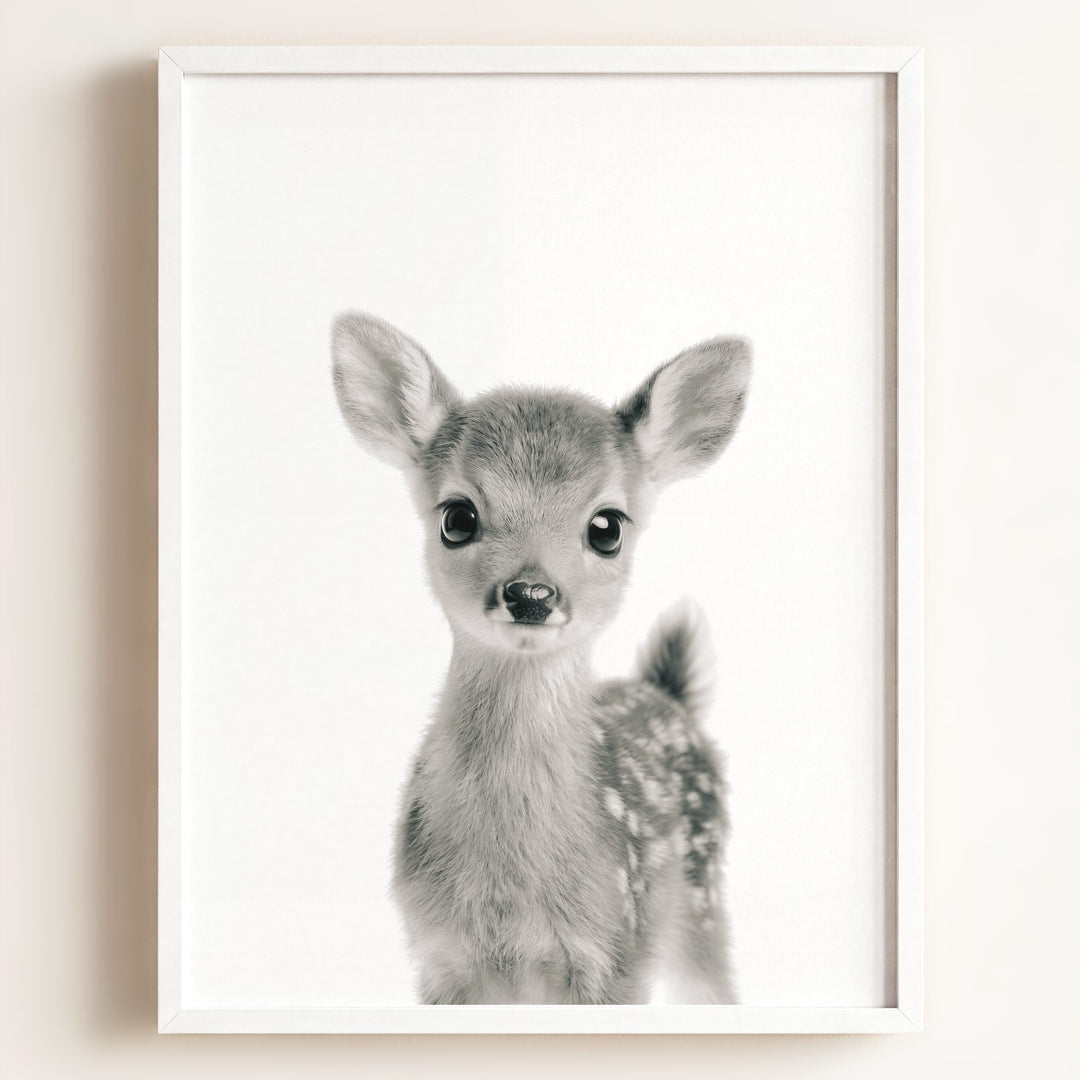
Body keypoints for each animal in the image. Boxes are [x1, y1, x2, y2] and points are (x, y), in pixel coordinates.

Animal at [331, 311, 751, 1004]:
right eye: (457, 516)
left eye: (607, 527)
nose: (531, 594)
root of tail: (668, 693)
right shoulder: (439, 957)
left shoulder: (617, 951)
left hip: (703, 900)